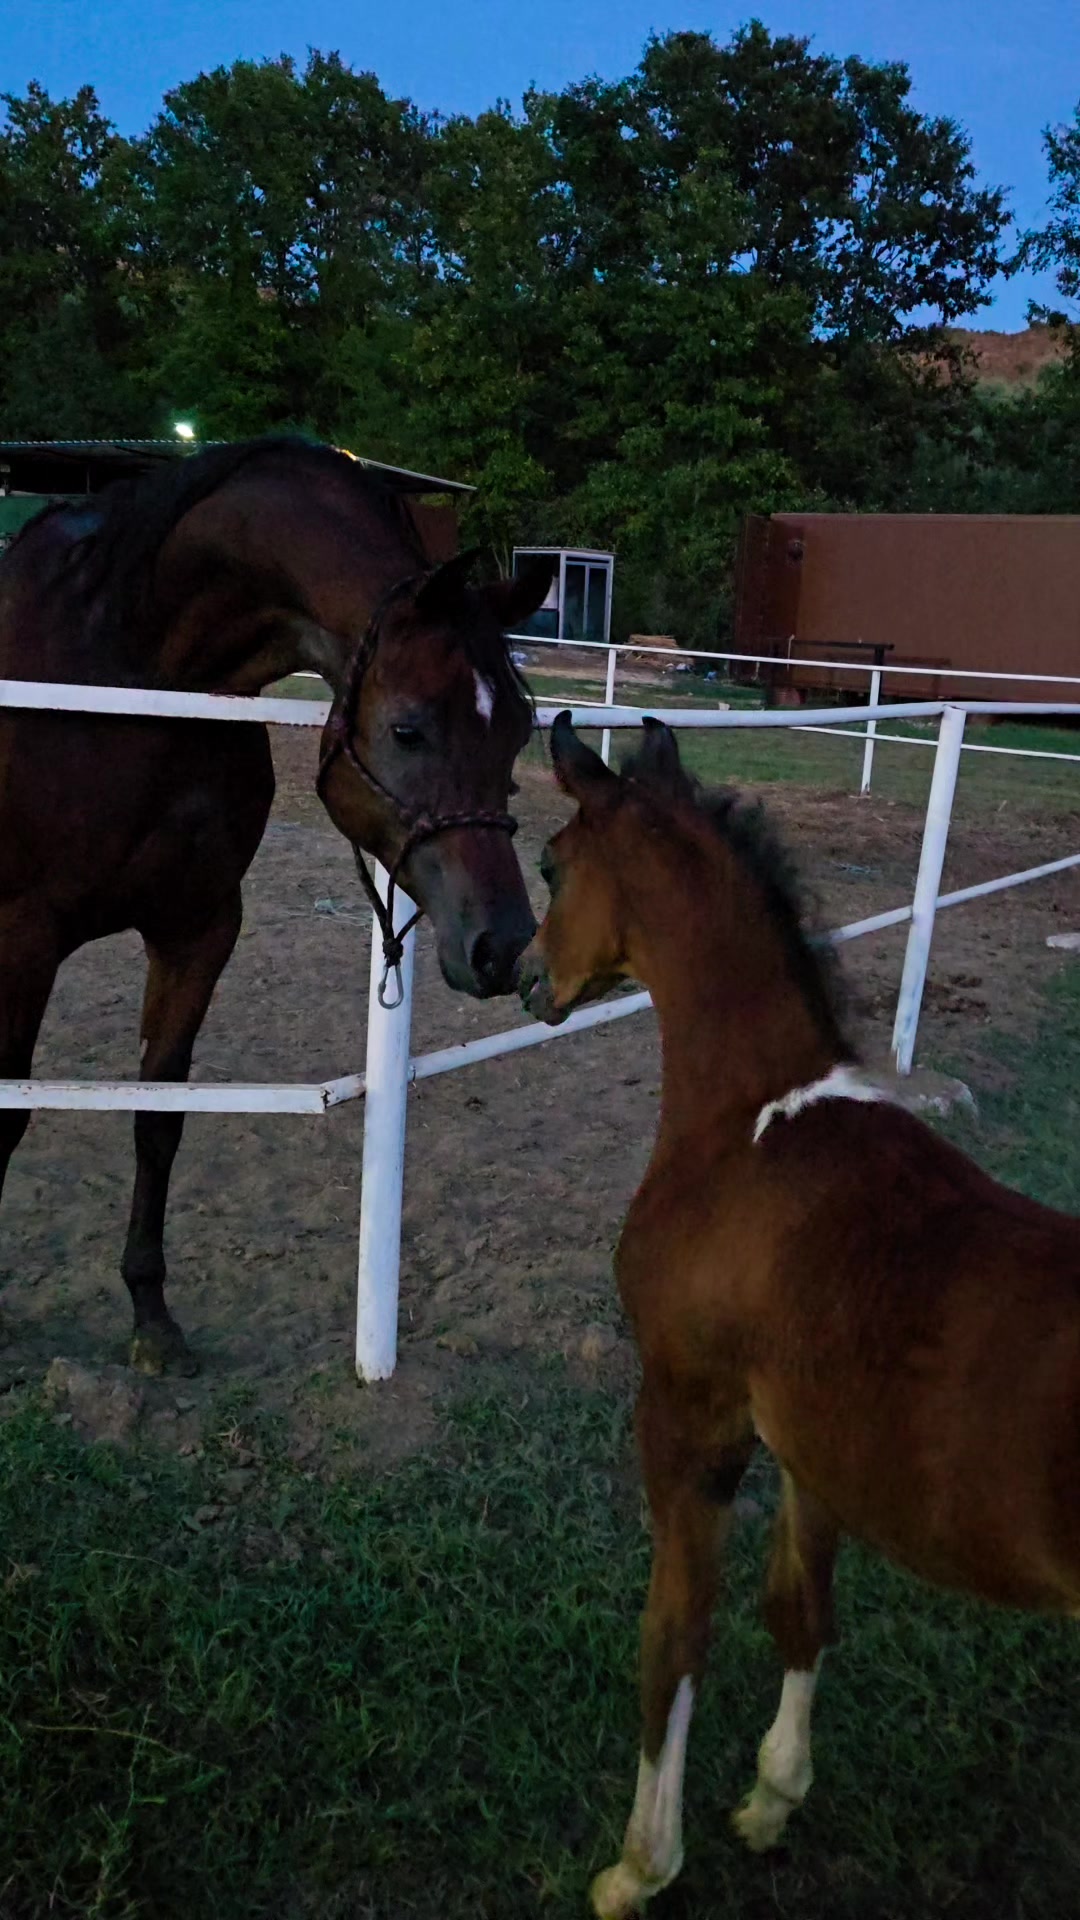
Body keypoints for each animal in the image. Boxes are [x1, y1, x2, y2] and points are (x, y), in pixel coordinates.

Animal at [0, 437, 552, 1376]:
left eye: (520, 726)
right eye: (407, 729)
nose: (503, 943)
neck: (124, 667)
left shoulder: (198, 931)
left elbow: (159, 1118)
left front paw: (152, 1316)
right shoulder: (24, 939)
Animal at [519, 712, 1080, 1919]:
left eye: (549, 861)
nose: (525, 974)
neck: (754, 1124)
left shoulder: (689, 1418)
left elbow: (675, 1637)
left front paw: (640, 1867)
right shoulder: (814, 1443)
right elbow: (800, 1610)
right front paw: (774, 1799)